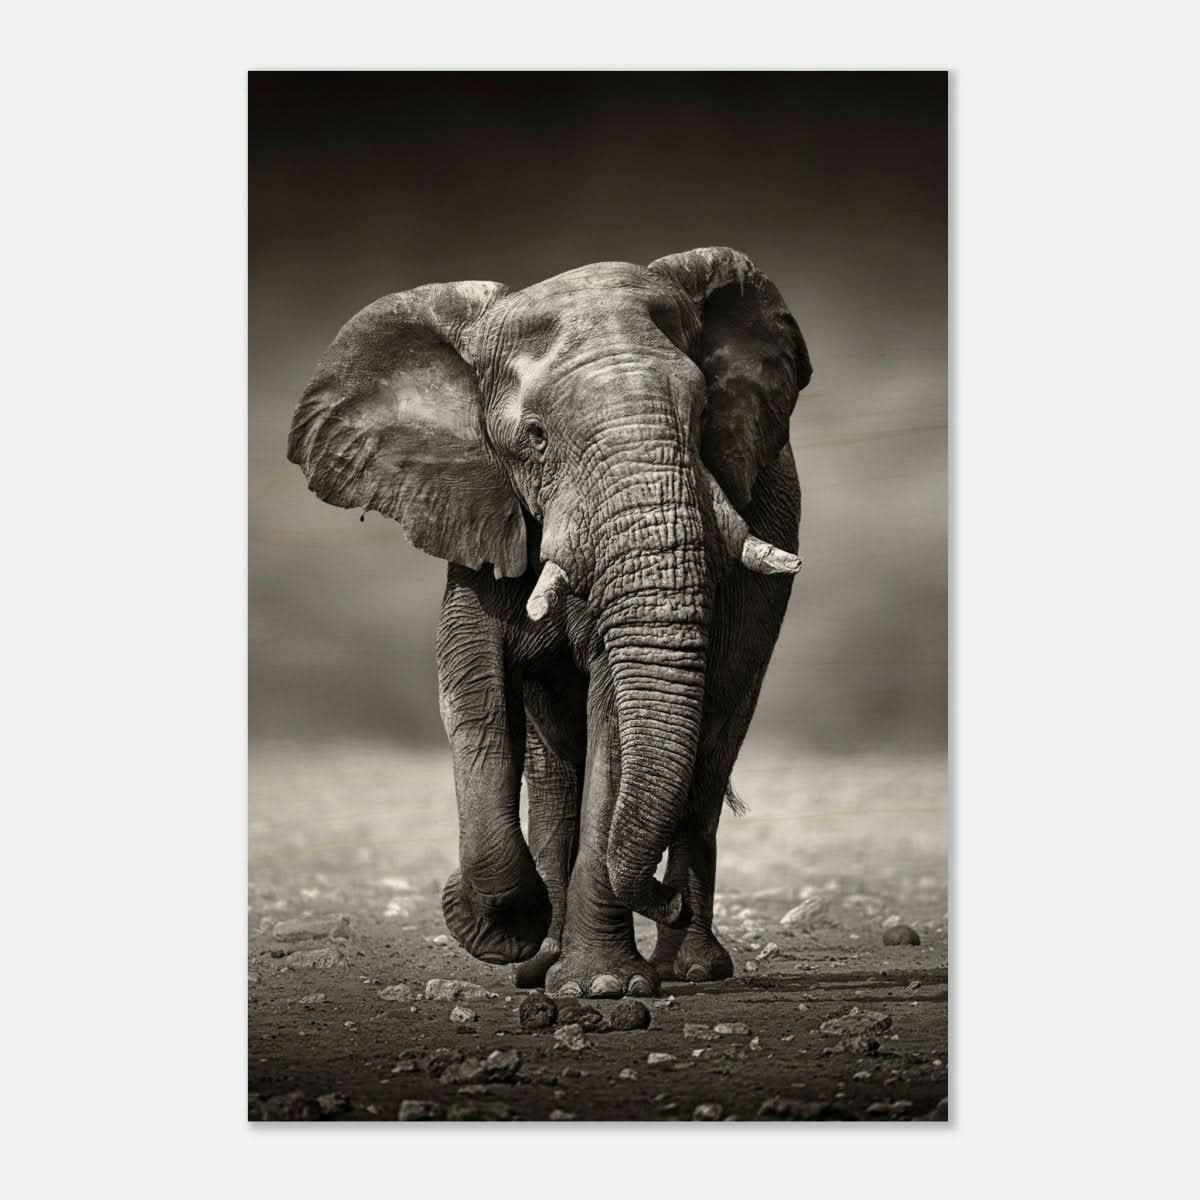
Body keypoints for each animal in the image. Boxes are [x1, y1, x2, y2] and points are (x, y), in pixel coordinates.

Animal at [287, 247, 811, 999]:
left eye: (703, 414)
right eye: (534, 438)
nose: (661, 899)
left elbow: (614, 714)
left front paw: (604, 987)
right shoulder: (478, 508)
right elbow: (472, 693)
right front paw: (501, 930)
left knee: (708, 754)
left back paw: (687, 968)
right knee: (555, 768)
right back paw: (543, 963)